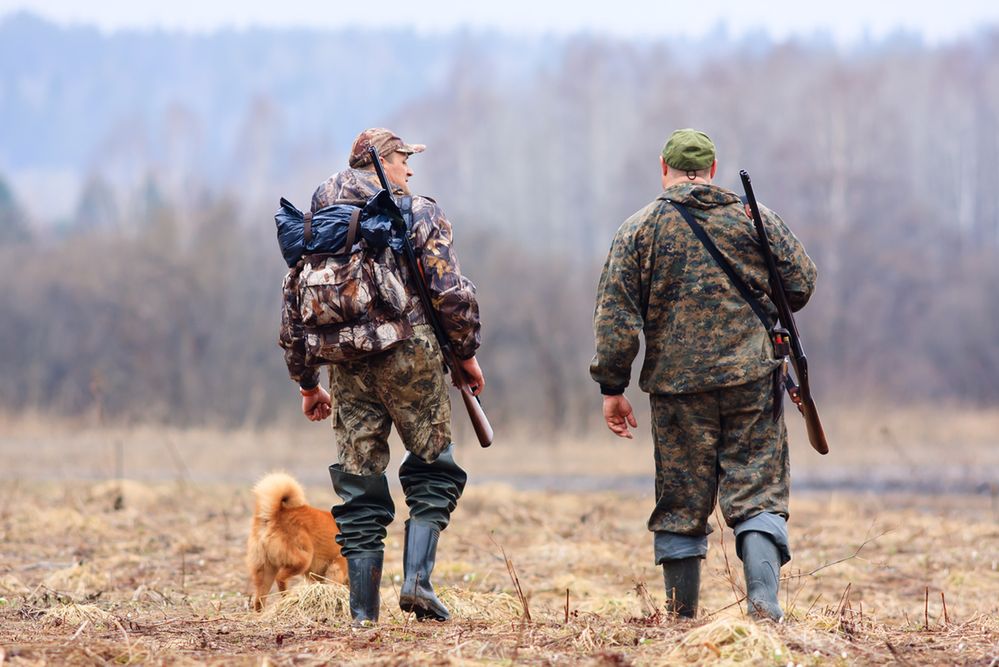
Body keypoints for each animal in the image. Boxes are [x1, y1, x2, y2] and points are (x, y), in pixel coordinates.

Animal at [246, 470, 348, 612]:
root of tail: (276, 514)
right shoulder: (337, 568)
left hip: (266, 570)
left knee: (259, 599)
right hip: (302, 560)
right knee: (281, 578)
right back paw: (287, 597)